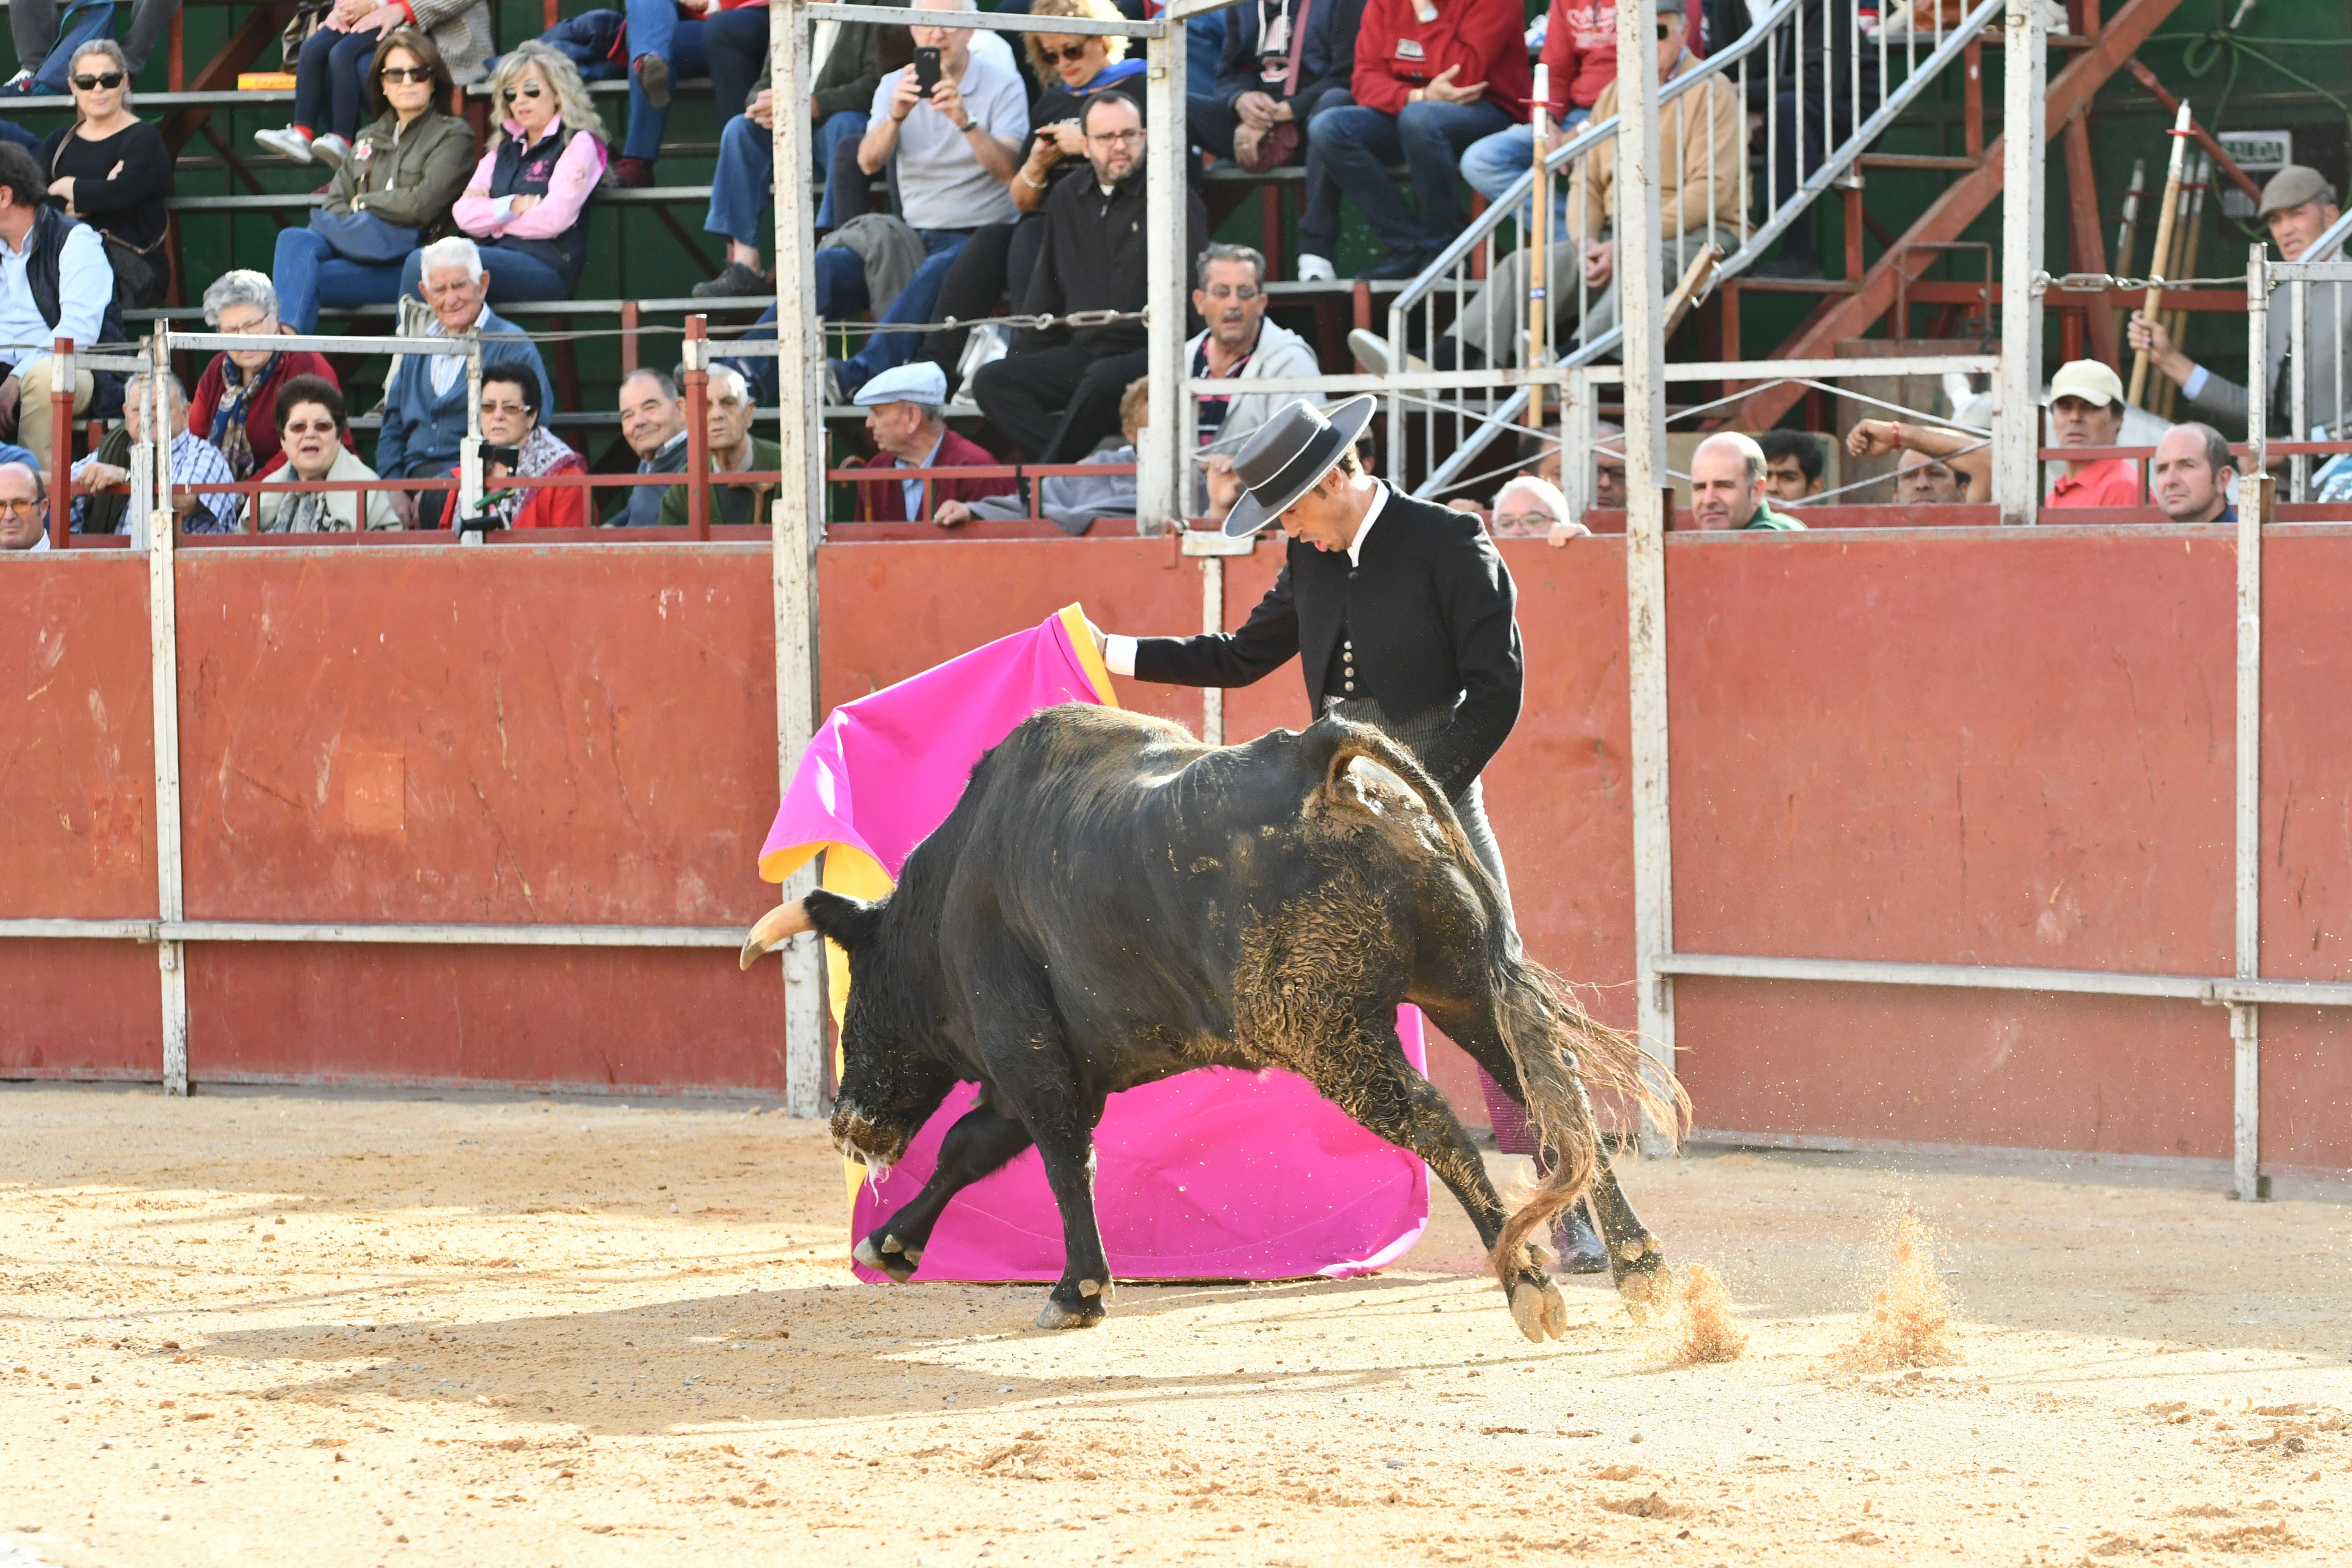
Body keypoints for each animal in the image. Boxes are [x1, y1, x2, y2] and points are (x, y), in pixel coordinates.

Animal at [743, 710, 1684, 1335]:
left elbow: (1055, 1153)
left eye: (859, 993)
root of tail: (1321, 760)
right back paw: (1640, 1264)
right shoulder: (1049, 1062)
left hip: (1327, 1030)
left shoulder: (1028, 1049)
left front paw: (1077, 1290)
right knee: (1558, 1103)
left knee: (1433, 1122)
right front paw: (891, 1244)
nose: (849, 1125)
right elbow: (972, 1148)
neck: (942, 906)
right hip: (1464, 987)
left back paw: (1525, 1280)